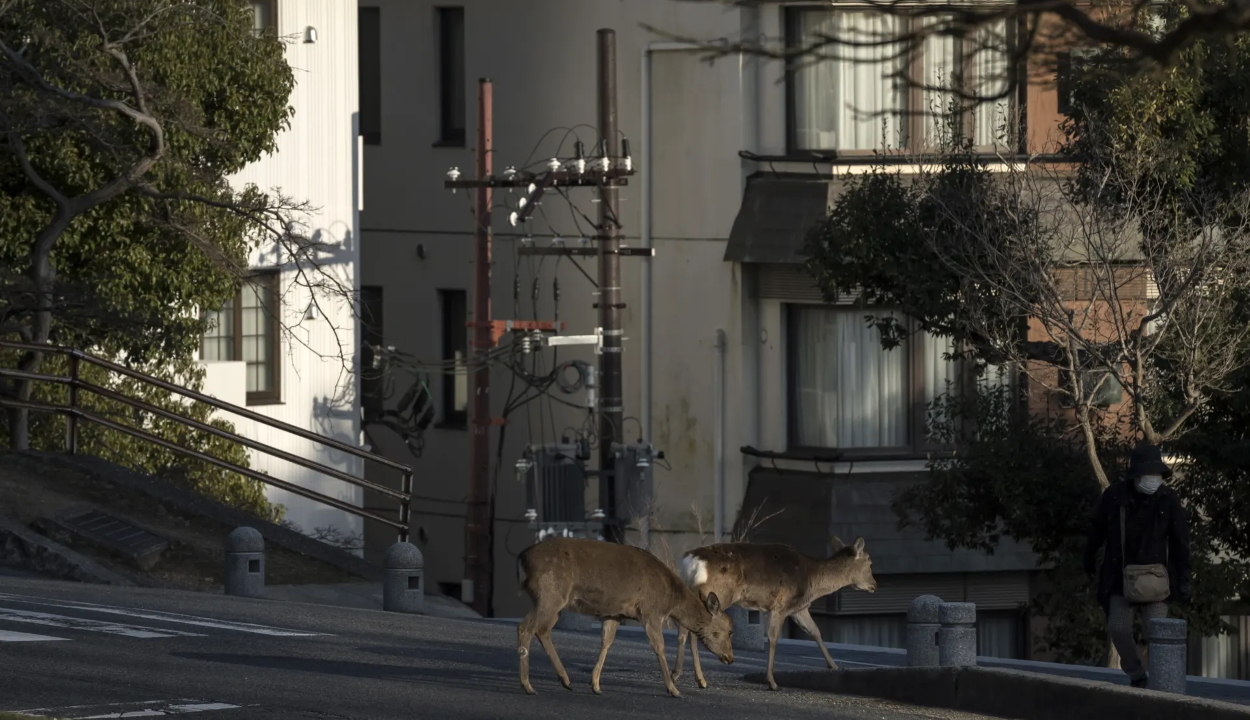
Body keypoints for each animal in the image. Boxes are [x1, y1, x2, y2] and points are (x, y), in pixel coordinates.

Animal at [515, 535, 735, 700]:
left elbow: (606, 642)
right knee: (525, 627)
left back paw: (565, 680)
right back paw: (528, 685)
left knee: (542, 630)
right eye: (730, 630)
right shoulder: (651, 612)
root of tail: (521, 559)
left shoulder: (614, 613)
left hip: (553, 602)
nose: (730, 658)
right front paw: (673, 689)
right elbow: (659, 648)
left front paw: (595, 684)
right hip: (550, 595)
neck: (671, 600)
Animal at [670, 535, 875, 690]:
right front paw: (772, 682)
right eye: (870, 562)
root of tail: (690, 562)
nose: (874, 585)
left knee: (683, 629)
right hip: (718, 594)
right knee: (694, 630)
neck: (813, 582)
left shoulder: (798, 608)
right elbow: (773, 638)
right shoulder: (781, 604)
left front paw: (833, 666)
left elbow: (815, 631)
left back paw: (680, 674)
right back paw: (697, 678)